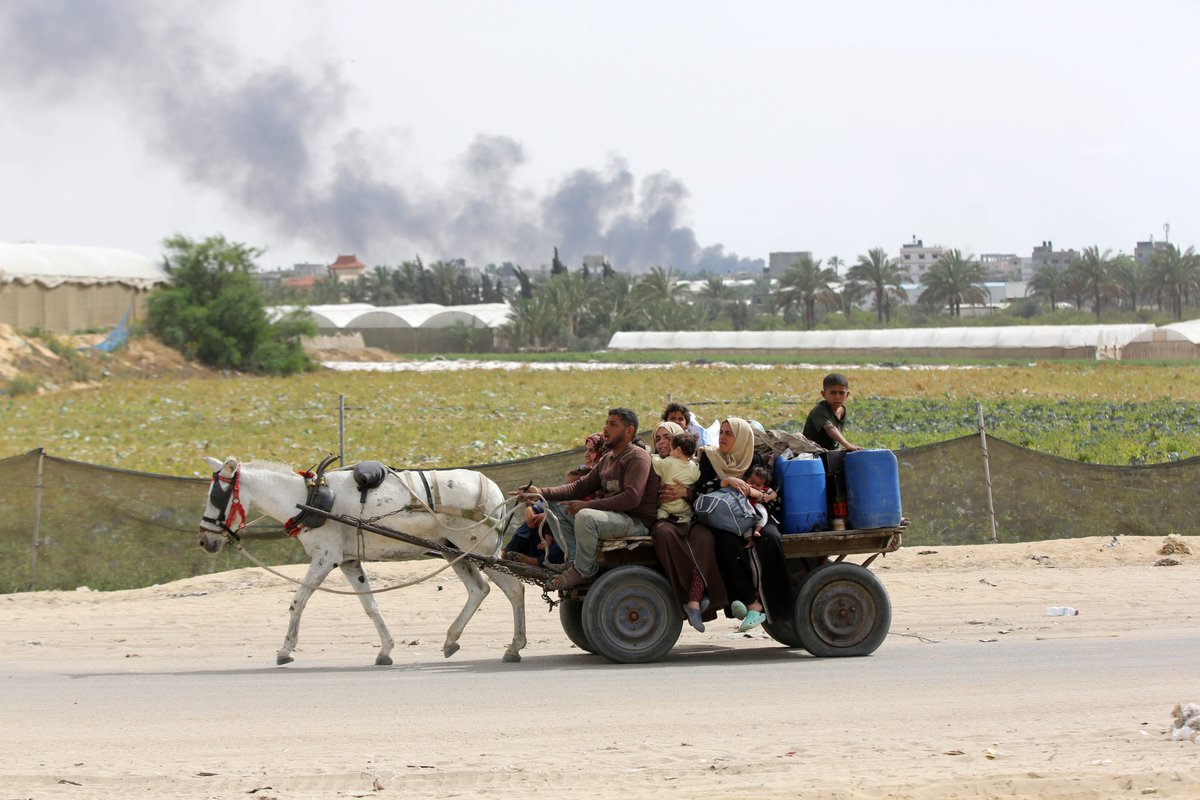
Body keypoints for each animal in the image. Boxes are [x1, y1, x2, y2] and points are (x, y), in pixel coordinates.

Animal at [196, 455, 525, 671]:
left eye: (216, 496)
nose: (204, 541)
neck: (308, 499)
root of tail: (494, 489)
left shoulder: (325, 557)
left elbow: (298, 600)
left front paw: (285, 650)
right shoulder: (349, 561)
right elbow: (370, 605)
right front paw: (386, 650)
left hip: (481, 551)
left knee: (514, 589)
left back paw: (514, 646)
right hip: (454, 552)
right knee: (478, 589)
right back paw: (452, 641)